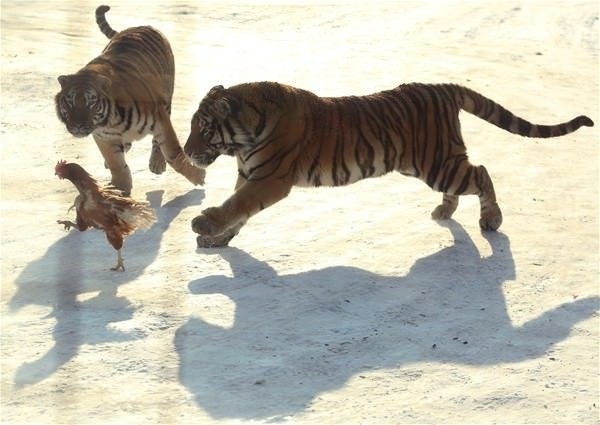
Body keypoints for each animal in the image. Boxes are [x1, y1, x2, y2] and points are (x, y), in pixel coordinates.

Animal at [54, 5, 204, 194]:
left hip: (166, 100)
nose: (78, 125)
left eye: (91, 102)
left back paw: (157, 164)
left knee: (157, 143)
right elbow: (116, 164)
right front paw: (119, 189)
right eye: (70, 102)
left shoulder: (159, 118)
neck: (110, 122)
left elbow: (173, 153)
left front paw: (198, 176)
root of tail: (140, 26)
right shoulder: (103, 136)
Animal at [184, 81, 596, 247]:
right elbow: (238, 210)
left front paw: (204, 225)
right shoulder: (251, 175)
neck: (241, 138)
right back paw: (444, 212)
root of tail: (445, 87)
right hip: (432, 163)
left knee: (481, 173)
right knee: (468, 178)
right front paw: (216, 239)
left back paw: (491, 219)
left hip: (437, 164)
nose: (187, 151)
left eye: (203, 128)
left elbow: (236, 205)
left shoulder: (269, 178)